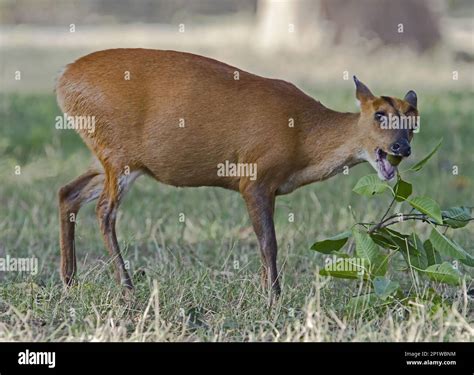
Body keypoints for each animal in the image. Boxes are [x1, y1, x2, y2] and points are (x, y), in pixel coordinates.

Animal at [56, 48, 418, 300]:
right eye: (379, 115)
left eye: (413, 120)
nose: (402, 147)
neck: (303, 137)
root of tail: (63, 80)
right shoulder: (255, 175)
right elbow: (269, 241)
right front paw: (273, 297)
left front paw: (266, 291)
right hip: (119, 153)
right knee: (104, 210)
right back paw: (127, 287)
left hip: (108, 156)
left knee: (68, 192)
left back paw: (69, 281)